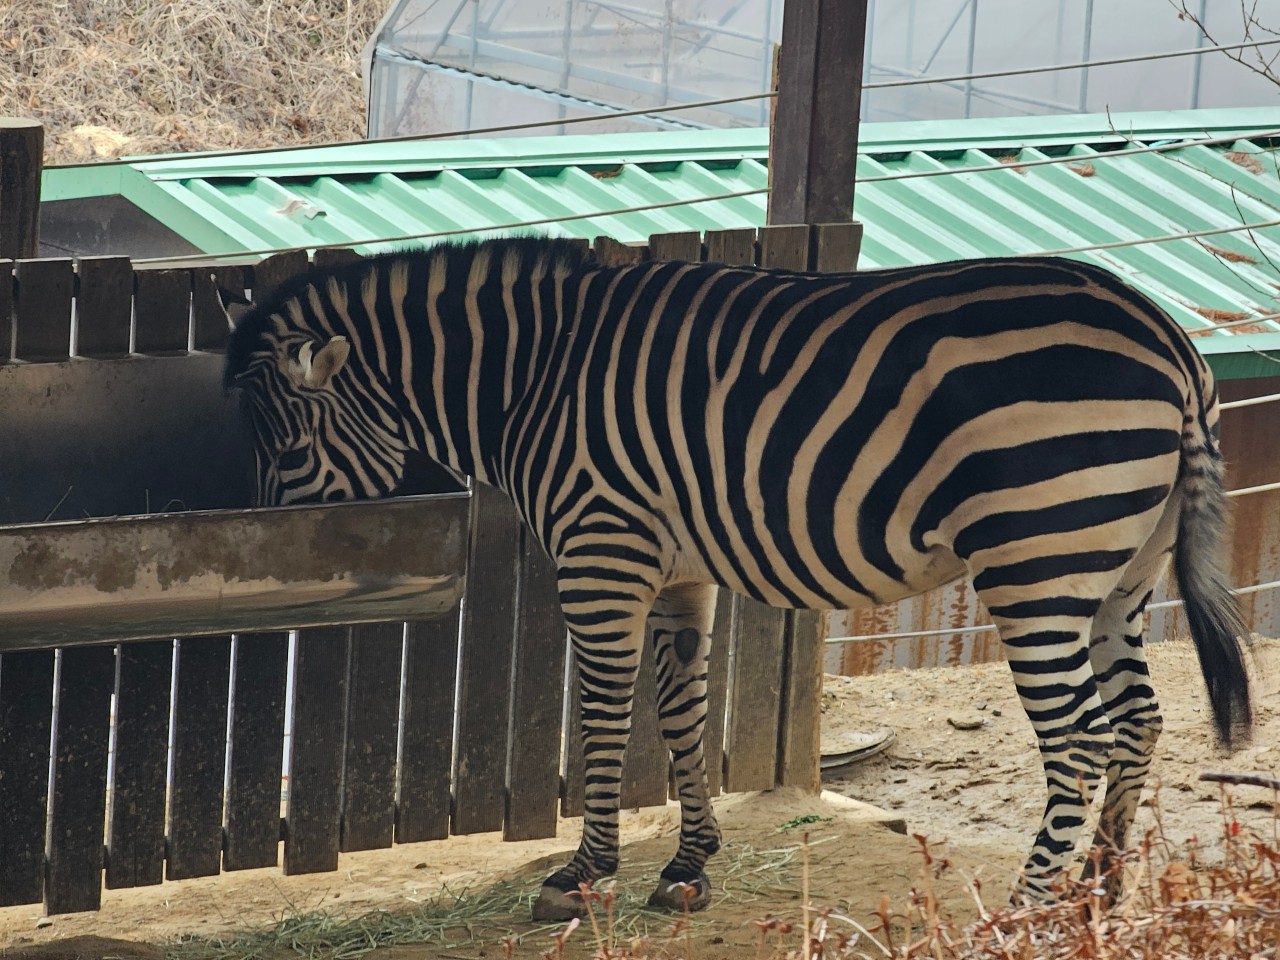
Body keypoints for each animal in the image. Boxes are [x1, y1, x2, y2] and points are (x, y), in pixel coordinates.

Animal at [222, 236, 1252, 919]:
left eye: (288, 451)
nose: (273, 569)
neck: (530, 382)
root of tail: (1170, 340)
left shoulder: (601, 552)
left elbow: (603, 716)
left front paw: (585, 872)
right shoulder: (681, 571)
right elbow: (681, 716)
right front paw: (688, 866)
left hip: (1035, 559)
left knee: (1079, 736)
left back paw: (1027, 912)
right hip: (1118, 574)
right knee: (1137, 720)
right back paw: (1099, 892)